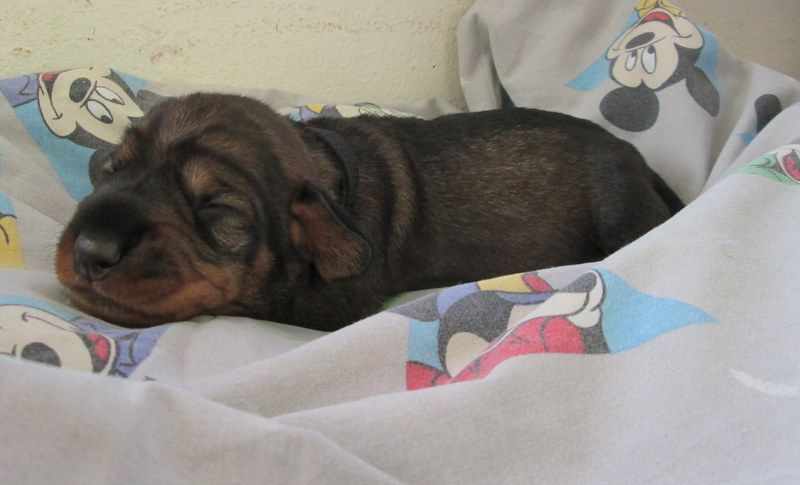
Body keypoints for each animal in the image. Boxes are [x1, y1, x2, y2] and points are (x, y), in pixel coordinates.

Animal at [56, 93, 683, 330]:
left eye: (214, 208)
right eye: (111, 170)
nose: (90, 250)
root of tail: (642, 162)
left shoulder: (330, 307)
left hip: (618, 211)